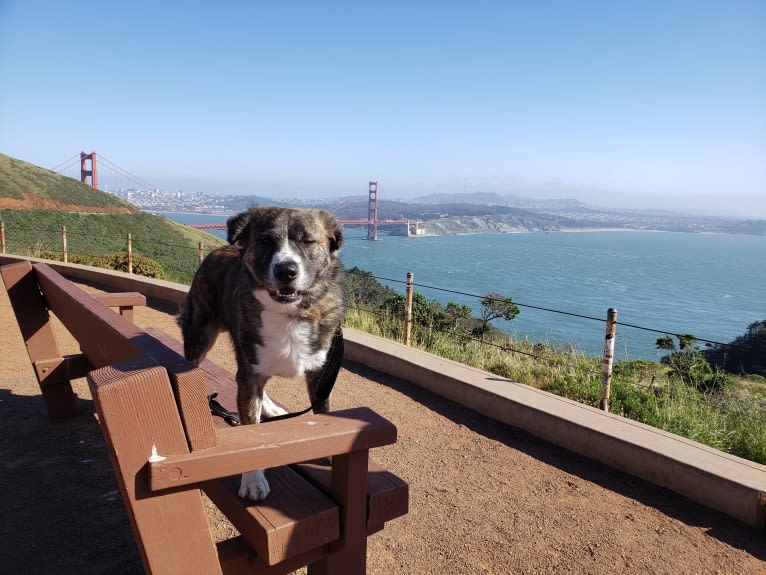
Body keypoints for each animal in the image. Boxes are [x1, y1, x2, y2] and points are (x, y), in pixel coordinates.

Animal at [178, 206, 344, 500]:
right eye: (266, 241)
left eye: (307, 241)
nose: (286, 270)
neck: (290, 313)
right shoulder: (249, 374)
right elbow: (252, 435)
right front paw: (253, 480)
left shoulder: (320, 372)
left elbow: (322, 409)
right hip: (201, 337)